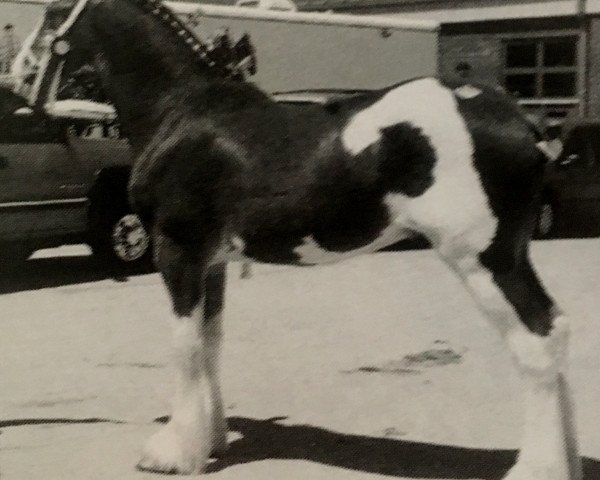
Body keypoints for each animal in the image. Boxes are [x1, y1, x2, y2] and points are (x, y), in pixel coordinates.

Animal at [51, 0, 580, 476]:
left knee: (536, 341)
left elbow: (184, 344)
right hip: (509, 255)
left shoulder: (177, 251)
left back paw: (536, 468)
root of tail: (525, 124)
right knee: (556, 329)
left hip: (482, 258)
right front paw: (212, 439)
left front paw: (172, 453)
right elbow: (210, 340)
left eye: (53, 15)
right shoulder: (213, 261)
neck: (179, 112)